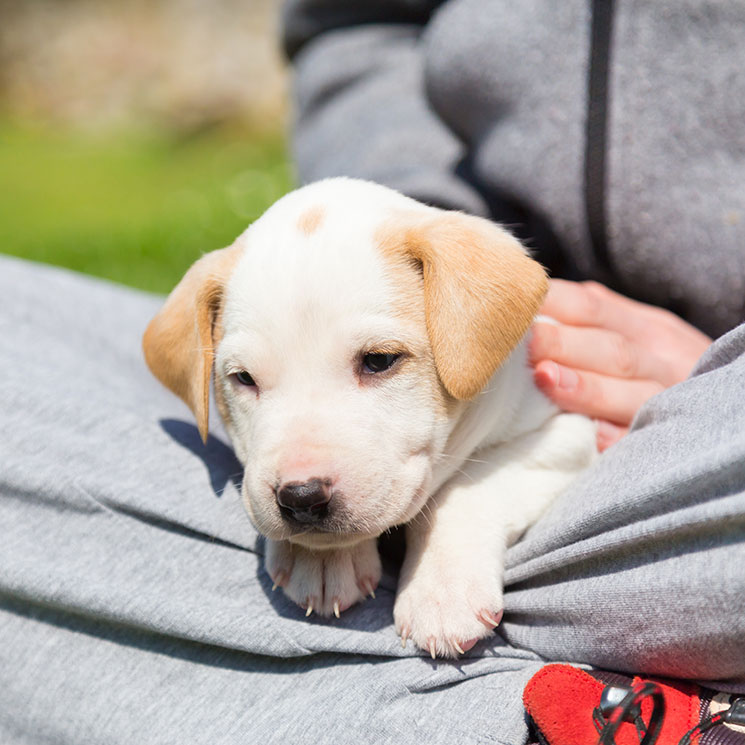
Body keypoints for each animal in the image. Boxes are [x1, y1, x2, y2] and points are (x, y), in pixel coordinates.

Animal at [142, 179, 596, 656]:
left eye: (379, 360)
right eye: (243, 378)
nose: (301, 497)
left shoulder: (562, 434)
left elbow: (467, 486)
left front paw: (441, 592)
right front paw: (321, 559)